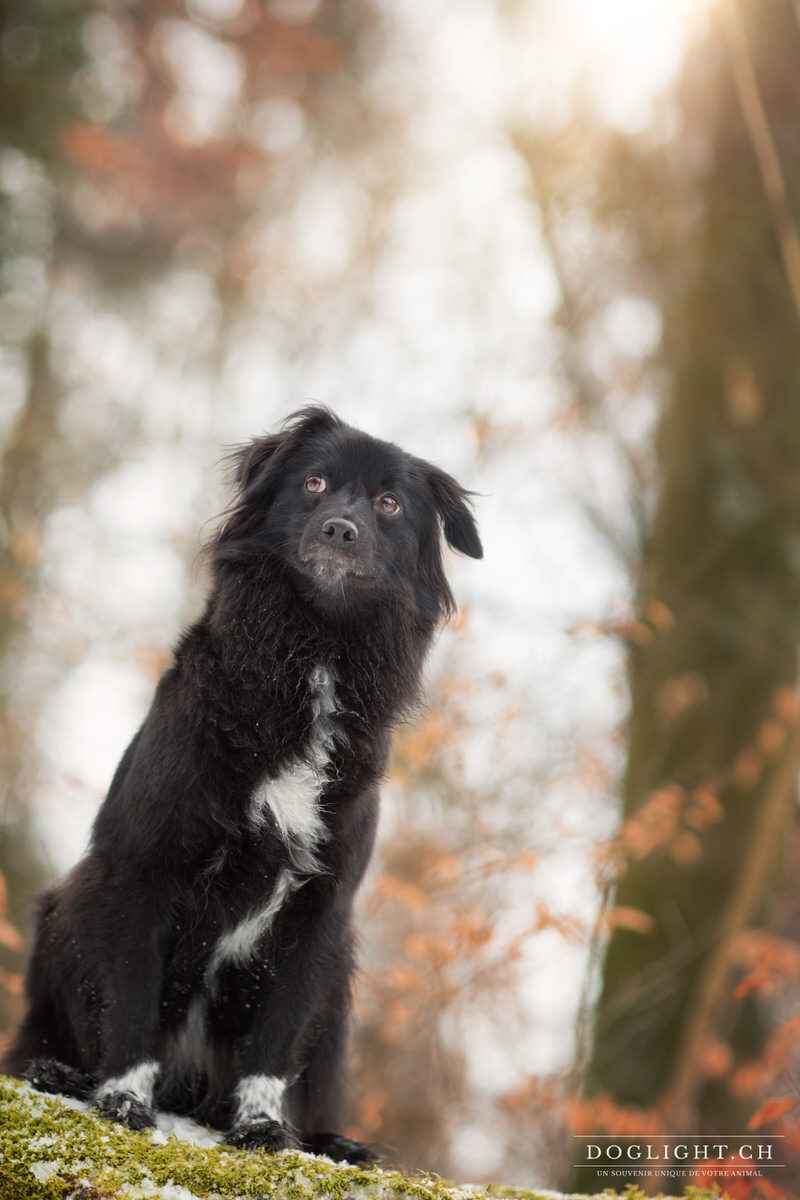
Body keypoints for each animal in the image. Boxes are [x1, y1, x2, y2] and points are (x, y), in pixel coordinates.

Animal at [3, 405, 482, 1161]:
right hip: (70, 903)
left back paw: (333, 1141)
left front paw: (261, 1128)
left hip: (340, 978)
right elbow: (132, 998)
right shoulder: (142, 868)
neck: (314, 654)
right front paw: (123, 1099)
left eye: (388, 504)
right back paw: (60, 1073)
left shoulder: (321, 910)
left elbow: (278, 1037)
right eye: (315, 483)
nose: (340, 528)